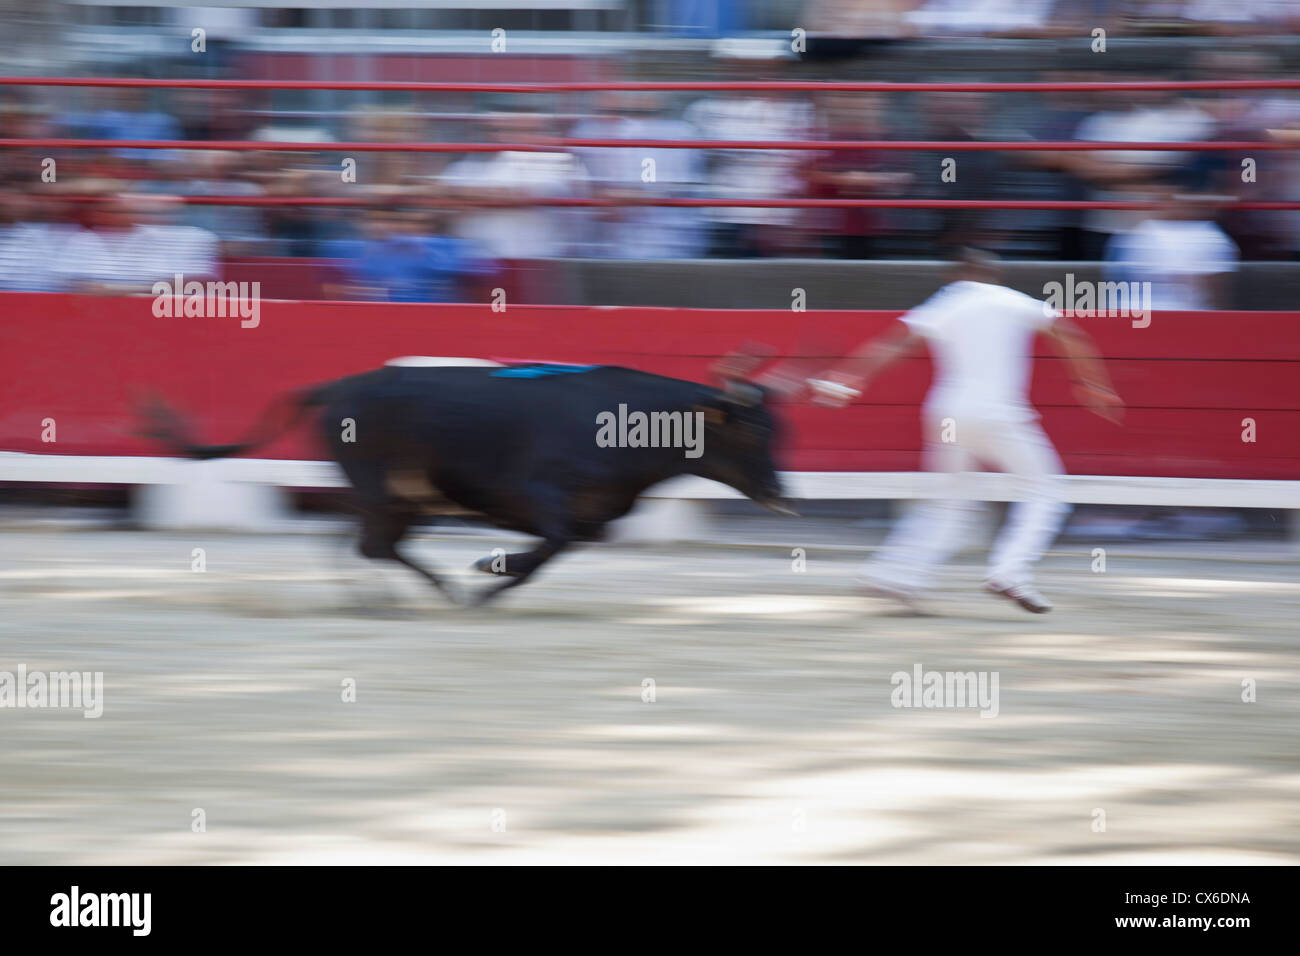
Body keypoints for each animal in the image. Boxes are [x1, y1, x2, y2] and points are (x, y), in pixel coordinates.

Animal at [142, 364, 790, 606]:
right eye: (750, 433)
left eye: (776, 429)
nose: (782, 493)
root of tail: (339, 386)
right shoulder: (536, 494)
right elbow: (551, 543)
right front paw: (485, 573)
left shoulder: (591, 517)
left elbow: (557, 549)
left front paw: (491, 579)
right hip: (383, 490)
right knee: (371, 544)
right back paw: (427, 593)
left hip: (392, 497)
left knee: (360, 541)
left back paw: (387, 597)